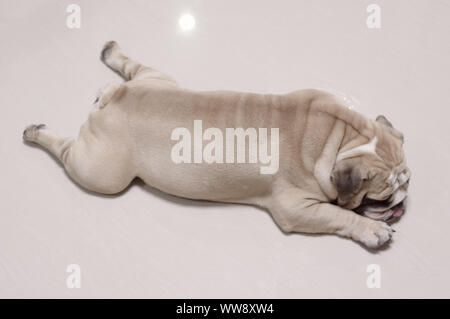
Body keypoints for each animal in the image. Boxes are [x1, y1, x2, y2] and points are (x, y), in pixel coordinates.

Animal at [22, 40, 410, 250]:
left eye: (407, 183)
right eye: (380, 199)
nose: (402, 204)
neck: (339, 135)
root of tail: (114, 97)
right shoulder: (296, 209)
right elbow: (338, 215)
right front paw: (372, 230)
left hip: (158, 79)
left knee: (133, 67)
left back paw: (111, 52)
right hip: (101, 173)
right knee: (66, 151)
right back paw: (35, 132)